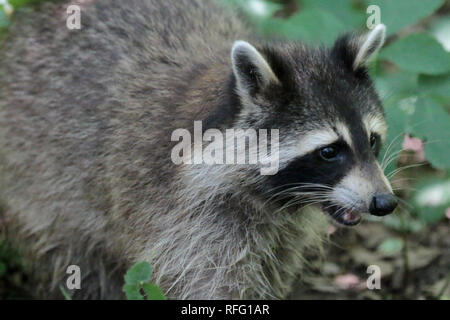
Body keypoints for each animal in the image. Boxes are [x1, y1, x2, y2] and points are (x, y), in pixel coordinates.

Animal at [0, 0, 396, 300]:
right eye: (329, 151)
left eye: (371, 140)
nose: (385, 202)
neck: (273, 201)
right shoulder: (183, 217)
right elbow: (209, 283)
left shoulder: (281, 231)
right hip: (38, 182)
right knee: (77, 259)